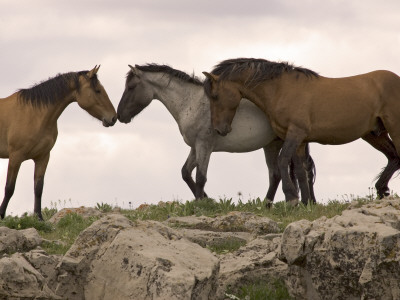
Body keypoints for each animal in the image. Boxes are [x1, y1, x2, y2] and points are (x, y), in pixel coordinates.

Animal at [0, 67, 117, 219]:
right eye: (98, 90)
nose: (113, 118)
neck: (34, 114)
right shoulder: (15, 156)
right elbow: (9, 188)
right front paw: (1, 215)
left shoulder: (43, 157)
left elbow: (38, 188)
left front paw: (39, 218)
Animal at [117, 63, 318, 204]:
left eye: (131, 87)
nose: (119, 115)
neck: (191, 103)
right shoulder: (195, 147)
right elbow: (186, 173)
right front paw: (207, 199)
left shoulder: (204, 145)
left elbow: (200, 177)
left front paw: (201, 204)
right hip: (272, 144)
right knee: (278, 174)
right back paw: (269, 204)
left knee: (295, 171)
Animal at [205, 58, 400, 204]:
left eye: (214, 96)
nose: (219, 129)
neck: (281, 89)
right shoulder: (300, 140)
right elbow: (300, 170)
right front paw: (306, 203)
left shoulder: (295, 133)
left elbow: (283, 160)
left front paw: (291, 197)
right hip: (374, 134)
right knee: (394, 157)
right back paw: (381, 189)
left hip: (394, 127)